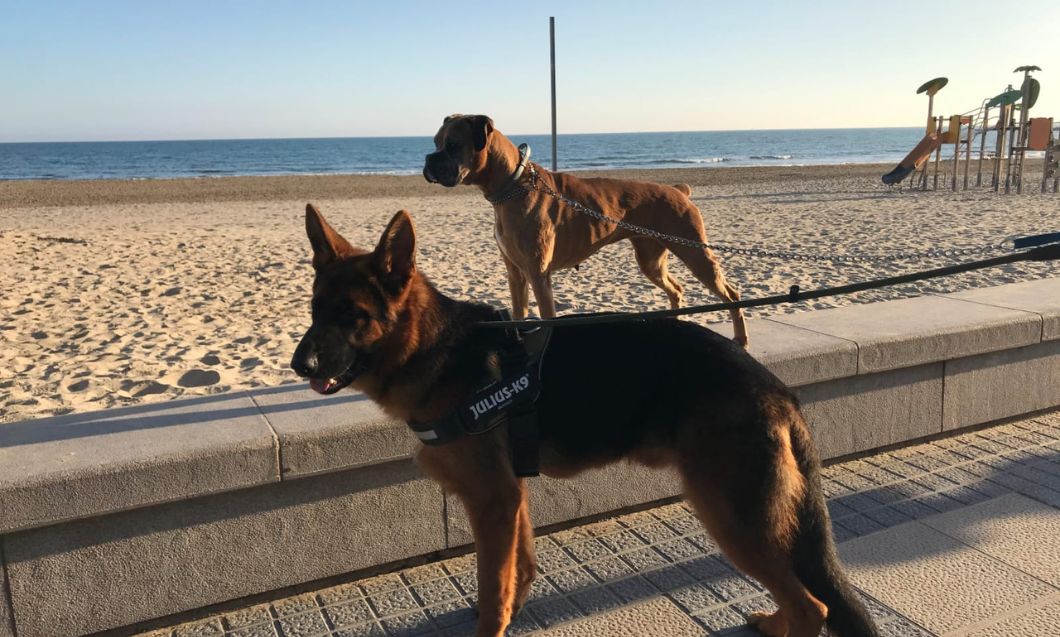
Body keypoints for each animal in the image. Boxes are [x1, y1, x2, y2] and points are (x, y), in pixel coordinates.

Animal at [290, 204, 877, 637]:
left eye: (354, 317)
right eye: (315, 310)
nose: (301, 366)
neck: (435, 347)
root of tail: (776, 388)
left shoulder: (492, 501)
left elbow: (493, 585)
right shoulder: (511, 496)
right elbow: (519, 569)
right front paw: (515, 609)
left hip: (730, 514)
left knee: (813, 607)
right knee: (801, 601)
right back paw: (772, 621)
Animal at [423, 114, 749, 347]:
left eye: (453, 145)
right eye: (436, 142)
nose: (428, 158)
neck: (512, 185)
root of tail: (679, 190)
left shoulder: (538, 274)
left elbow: (548, 317)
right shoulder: (515, 273)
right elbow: (518, 315)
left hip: (694, 253)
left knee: (732, 293)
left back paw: (741, 337)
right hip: (651, 260)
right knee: (677, 289)